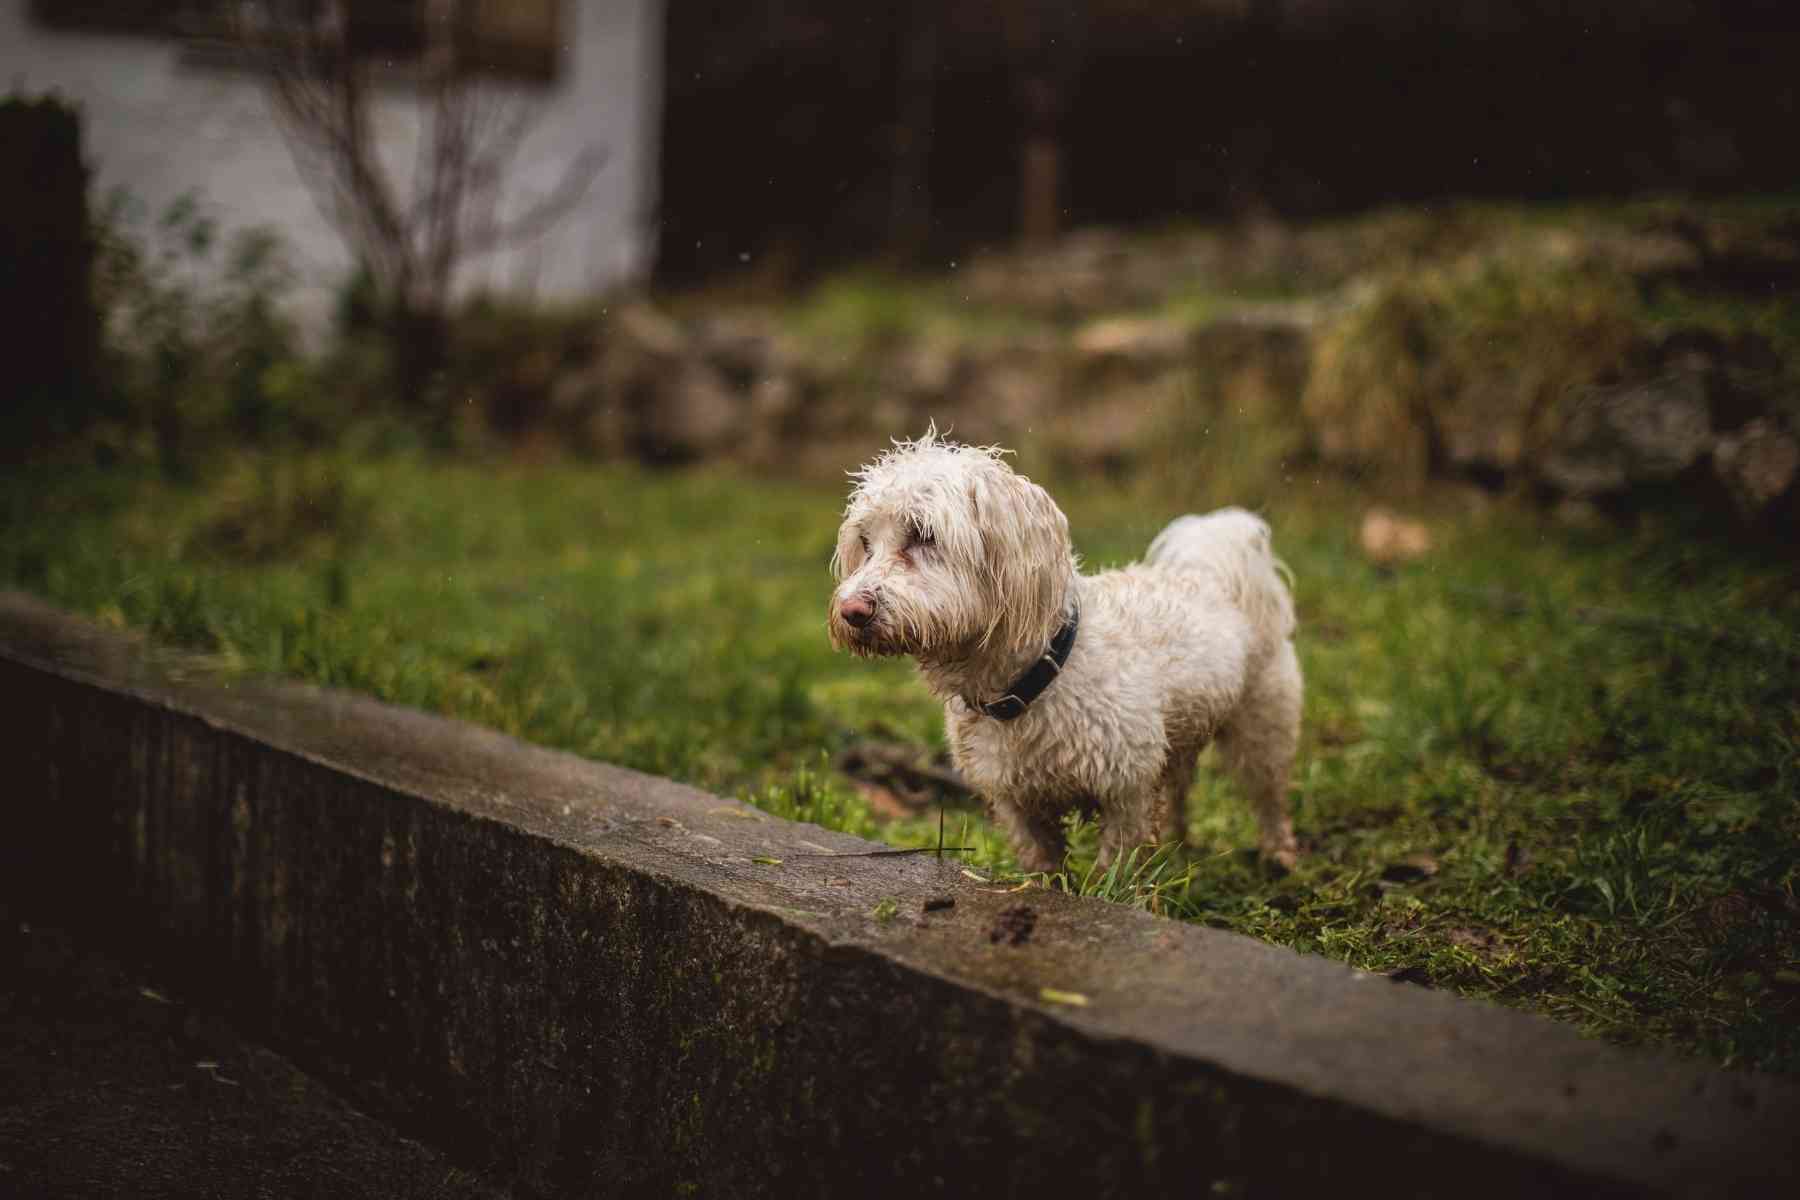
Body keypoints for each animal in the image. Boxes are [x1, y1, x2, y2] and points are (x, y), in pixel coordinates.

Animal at [824, 429, 1303, 874]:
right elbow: (1043, 863)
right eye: (865, 544)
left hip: (1263, 723)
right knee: (1179, 790)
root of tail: (1213, 572)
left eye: (924, 534)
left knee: (1268, 795)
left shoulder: (1126, 791)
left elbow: (1115, 864)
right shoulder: (1016, 802)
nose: (852, 611)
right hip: (1180, 737)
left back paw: (1278, 854)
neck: (1032, 682)